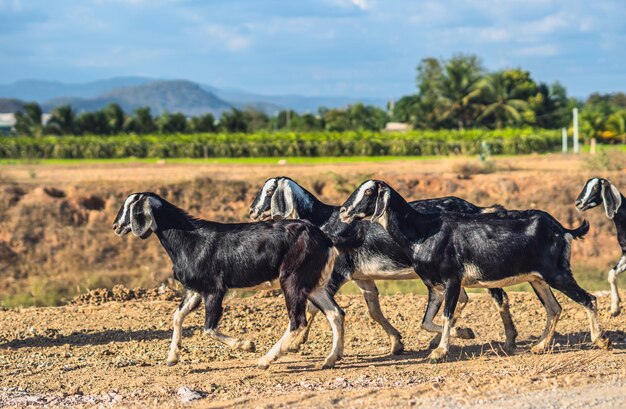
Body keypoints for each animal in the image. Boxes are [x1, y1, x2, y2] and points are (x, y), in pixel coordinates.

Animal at [113, 193, 346, 368]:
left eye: (129, 207)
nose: (116, 226)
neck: (189, 239)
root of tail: (324, 238)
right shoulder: (195, 290)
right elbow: (178, 315)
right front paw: (172, 357)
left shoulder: (214, 290)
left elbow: (208, 328)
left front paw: (248, 345)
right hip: (314, 284)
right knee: (336, 313)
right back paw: (331, 359)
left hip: (292, 280)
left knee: (298, 321)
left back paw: (265, 360)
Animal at [249, 177, 516, 352]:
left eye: (270, 190)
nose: (252, 211)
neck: (324, 221)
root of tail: (478, 208)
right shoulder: (362, 277)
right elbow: (374, 310)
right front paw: (396, 342)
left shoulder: (337, 274)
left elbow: (317, 307)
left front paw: (296, 342)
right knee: (464, 299)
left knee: (498, 296)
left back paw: (509, 339)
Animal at [338, 180, 608, 362]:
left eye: (369, 191)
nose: (343, 211)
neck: (424, 231)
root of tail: (562, 229)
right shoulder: (434, 286)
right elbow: (426, 321)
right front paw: (464, 333)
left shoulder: (452, 281)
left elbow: (446, 315)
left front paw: (440, 352)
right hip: (538, 279)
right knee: (554, 308)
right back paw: (540, 346)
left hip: (557, 273)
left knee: (589, 299)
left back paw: (600, 340)